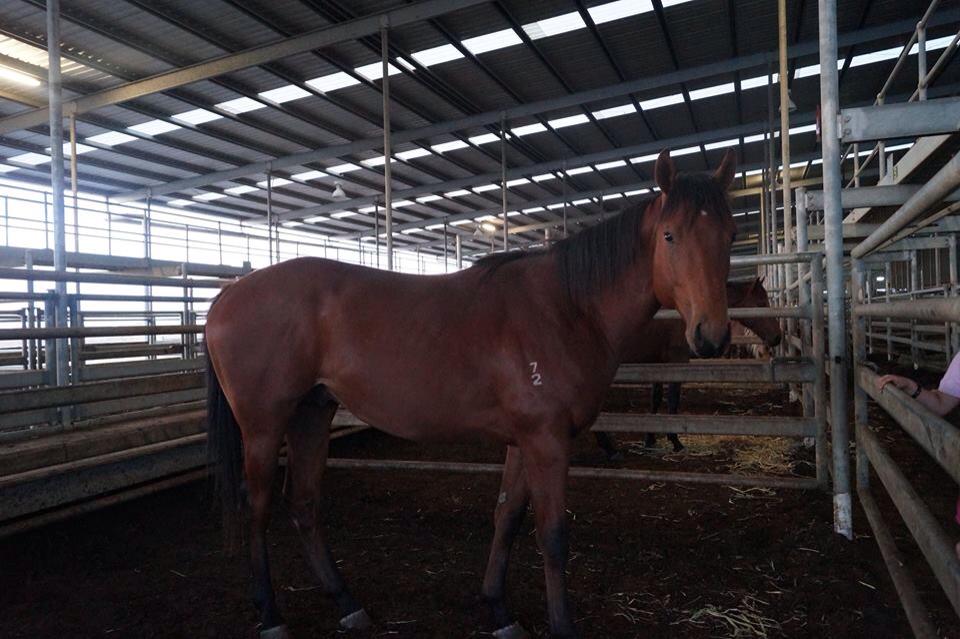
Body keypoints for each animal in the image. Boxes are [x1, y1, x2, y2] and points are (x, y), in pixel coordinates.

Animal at [206, 148, 740, 636]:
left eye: (730, 237)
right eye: (670, 236)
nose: (711, 336)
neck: (565, 309)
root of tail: (229, 293)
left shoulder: (524, 441)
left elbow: (507, 518)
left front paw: (499, 611)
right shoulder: (547, 442)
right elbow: (553, 535)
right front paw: (560, 625)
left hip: (313, 414)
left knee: (304, 504)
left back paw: (347, 604)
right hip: (263, 426)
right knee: (258, 505)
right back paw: (271, 615)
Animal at [596, 278, 784, 458]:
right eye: (761, 303)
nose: (777, 337)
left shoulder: (659, 364)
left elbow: (656, 399)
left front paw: (649, 439)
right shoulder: (677, 362)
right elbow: (673, 401)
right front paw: (675, 441)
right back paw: (609, 449)